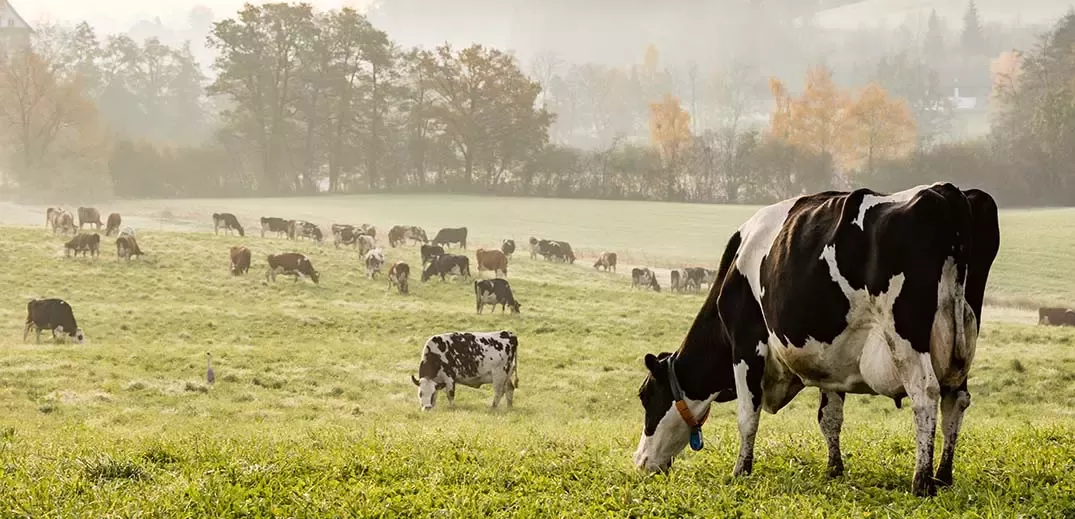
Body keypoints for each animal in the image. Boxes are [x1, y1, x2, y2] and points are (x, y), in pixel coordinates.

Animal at [632, 184, 1001, 498]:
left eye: (645, 396)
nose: (640, 462)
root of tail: (947, 192)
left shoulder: (746, 344)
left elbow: (747, 416)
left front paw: (741, 471)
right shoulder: (832, 359)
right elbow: (829, 417)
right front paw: (834, 469)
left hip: (907, 337)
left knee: (925, 395)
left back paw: (922, 481)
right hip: (962, 342)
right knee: (956, 399)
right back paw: (944, 476)